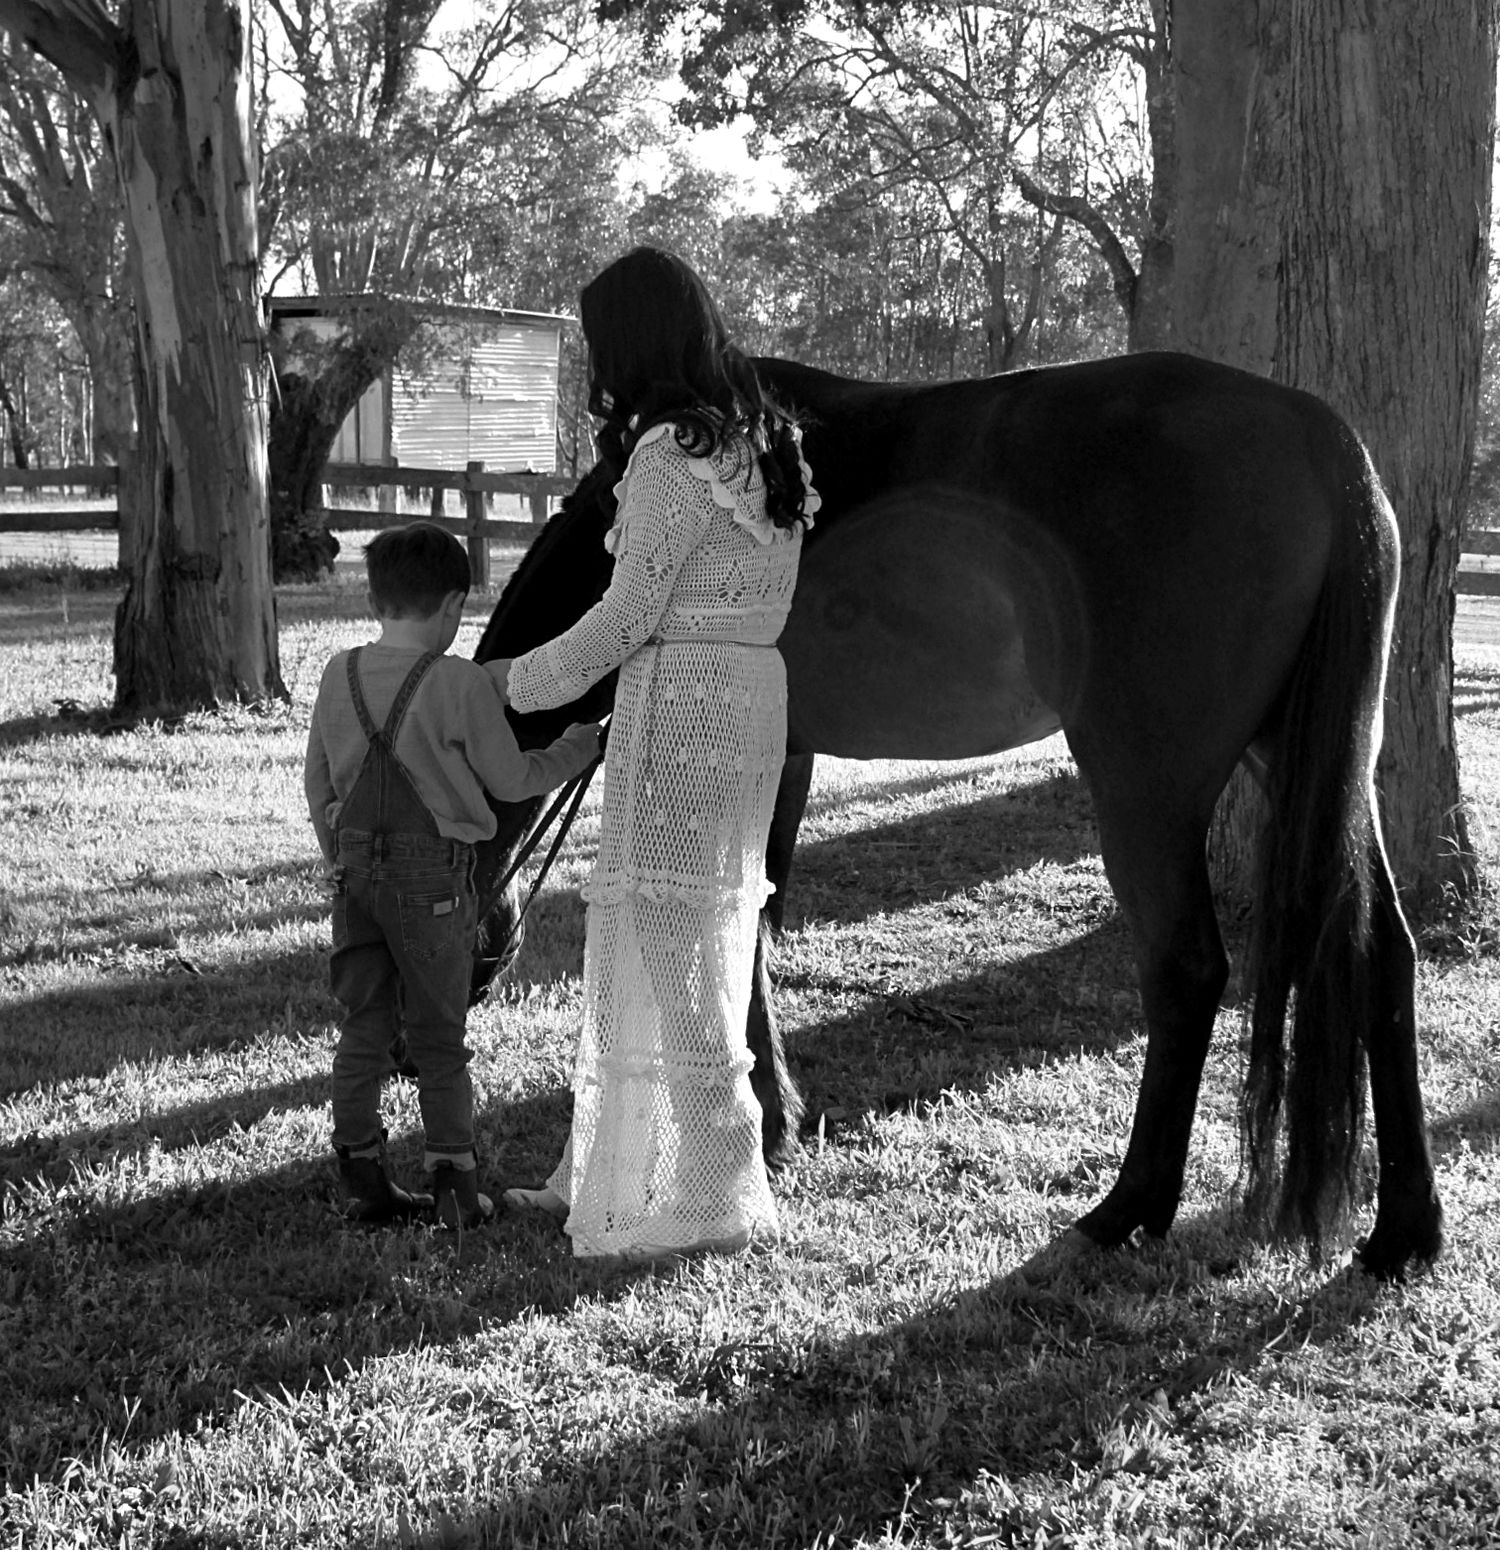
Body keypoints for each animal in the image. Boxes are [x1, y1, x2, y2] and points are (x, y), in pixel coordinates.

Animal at [471, 350, 1443, 1281]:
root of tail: (1317, 433)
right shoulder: (786, 757)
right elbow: (755, 923)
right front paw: (774, 1121)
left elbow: (736, 931)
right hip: (1306, 763)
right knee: (1381, 953)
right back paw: (1404, 1227)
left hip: (1147, 790)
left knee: (1187, 969)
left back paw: (1126, 1209)